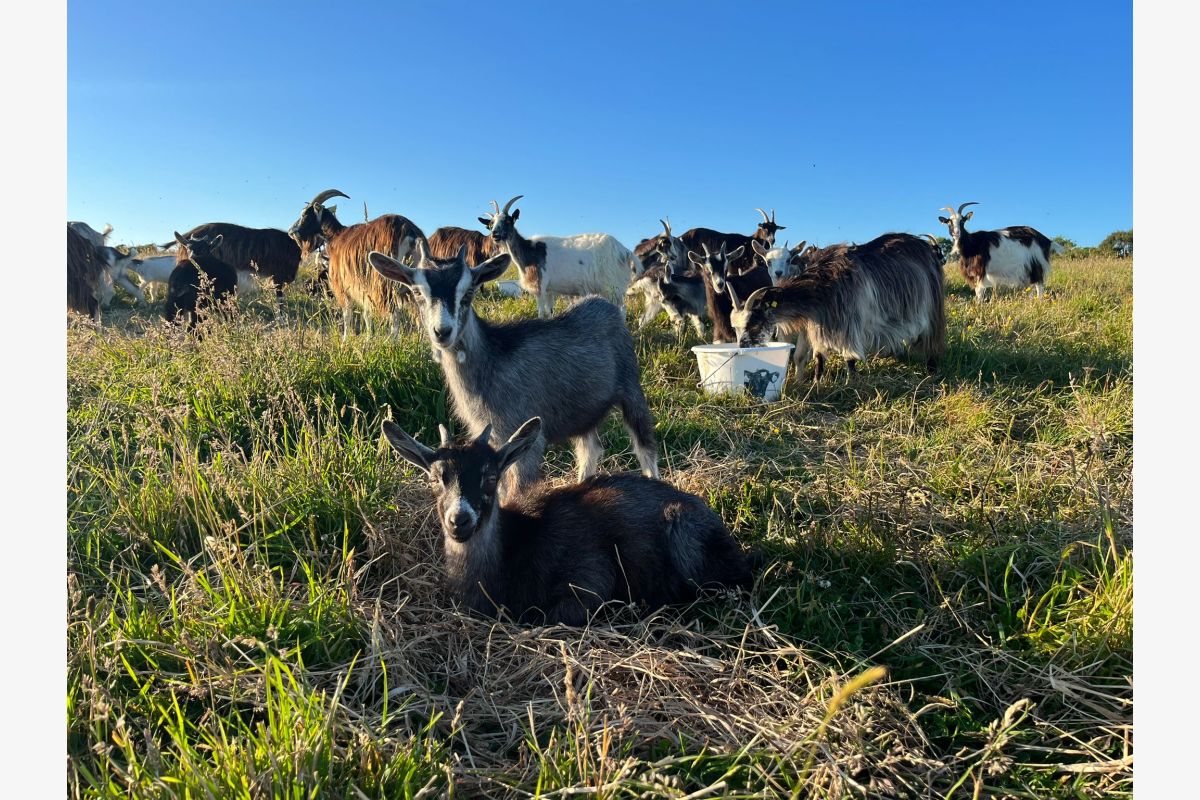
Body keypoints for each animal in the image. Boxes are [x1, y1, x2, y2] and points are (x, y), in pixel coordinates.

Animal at [286, 189, 427, 340]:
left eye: (304, 214)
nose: (290, 232)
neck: (336, 236)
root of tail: (409, 233)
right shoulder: (363, 286)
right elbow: (366, 314)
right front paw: (368, 338)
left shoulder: (343, 284)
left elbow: (347, 313)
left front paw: (345, 339)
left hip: (386, 281)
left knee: (394, 312)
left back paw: (391, 342)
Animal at [367, 241, 662, 496]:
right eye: (418, 292)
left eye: (469, 292)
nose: (443, 331)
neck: (491, 361)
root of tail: (604, 304)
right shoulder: (491, 438)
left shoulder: (525, 433)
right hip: (585, 410)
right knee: (590, 450)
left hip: (631, 387)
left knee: (645, 446)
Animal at [729, 232, 945, 383]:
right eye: (735, 327)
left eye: (754, 323)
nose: (742, 347)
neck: (822, 282)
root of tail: (926, 247)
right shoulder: (819, 323)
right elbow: (819, 357)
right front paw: (817, 383)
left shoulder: (848, 321)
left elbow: (849, 357)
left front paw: (851, 383)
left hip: (932, 309)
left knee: (932, 340)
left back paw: (932, 373)